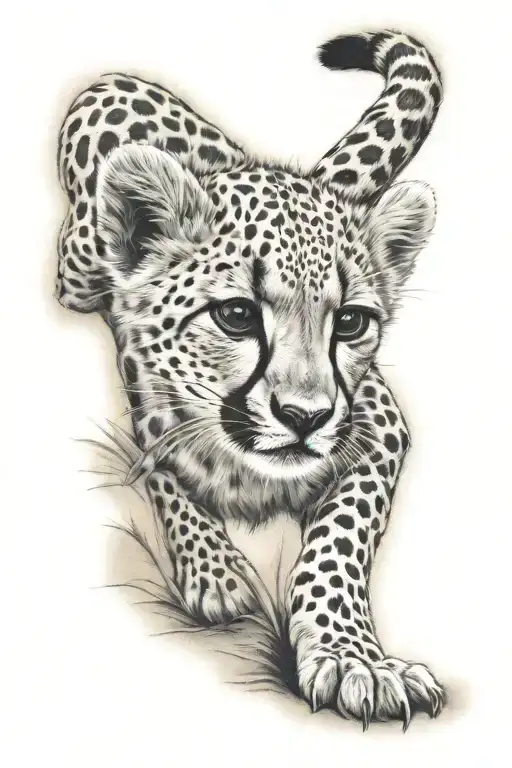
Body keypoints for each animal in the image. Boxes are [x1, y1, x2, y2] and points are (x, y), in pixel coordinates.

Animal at [56, 29, 445, 729]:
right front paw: (216, 573)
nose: (305, 417)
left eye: (350, 322)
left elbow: (341, 538)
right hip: (74, 271)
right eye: (236, 315)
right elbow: (166, 472)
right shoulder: (146, 400)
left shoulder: (379, 426)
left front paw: (354, 658)